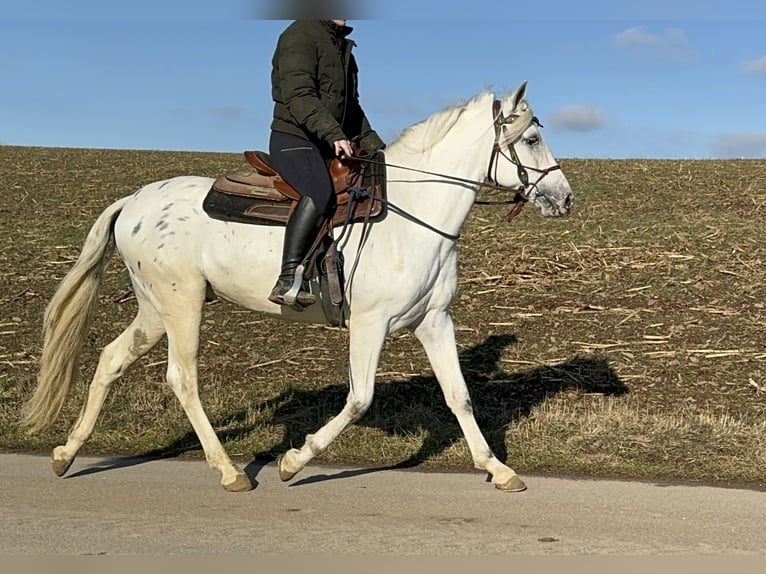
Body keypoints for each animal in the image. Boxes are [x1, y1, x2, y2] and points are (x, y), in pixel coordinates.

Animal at [21, 81, 576, 496]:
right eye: (530, 140)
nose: (564, 197)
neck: (413, 218)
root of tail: (134, 201)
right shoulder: (369, 325)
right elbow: (359, 399)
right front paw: (293, 461)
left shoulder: (434, 322)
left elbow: (458, 396)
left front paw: (498, 469)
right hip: (181, 305)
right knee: (183, 379)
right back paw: (228, 471)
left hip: (155, 309)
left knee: (112, 359)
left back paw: (66, 453)